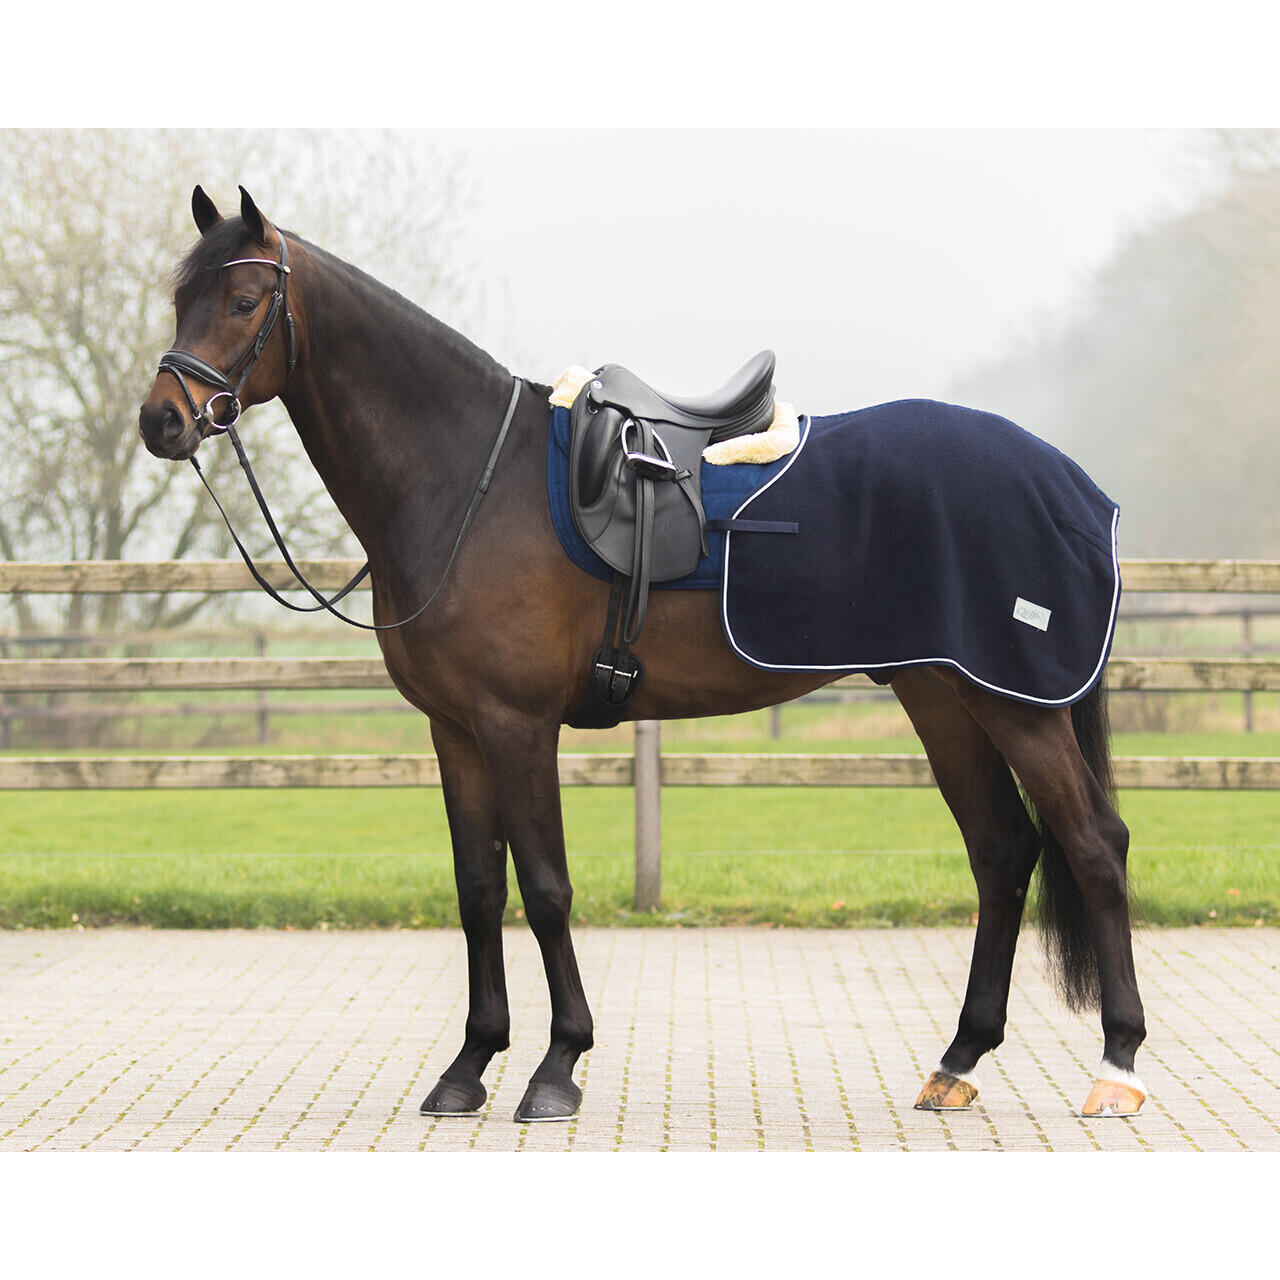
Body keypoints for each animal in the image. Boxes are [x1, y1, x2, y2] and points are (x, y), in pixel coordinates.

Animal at [138, 186, 1147, 1124]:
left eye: (241, 301)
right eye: (179, 296)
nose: (162, 422)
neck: (468, 481)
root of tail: (1068, 481)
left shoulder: (517, 724)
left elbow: (545, 888)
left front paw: (556, 1067)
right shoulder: (455, 732)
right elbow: (477, 889)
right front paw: (470, 1065)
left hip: (1016, 705)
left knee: (1093, 845)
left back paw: (1118, 1065)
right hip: (943, 696)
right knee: (1002, 850)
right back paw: (959, 1059)